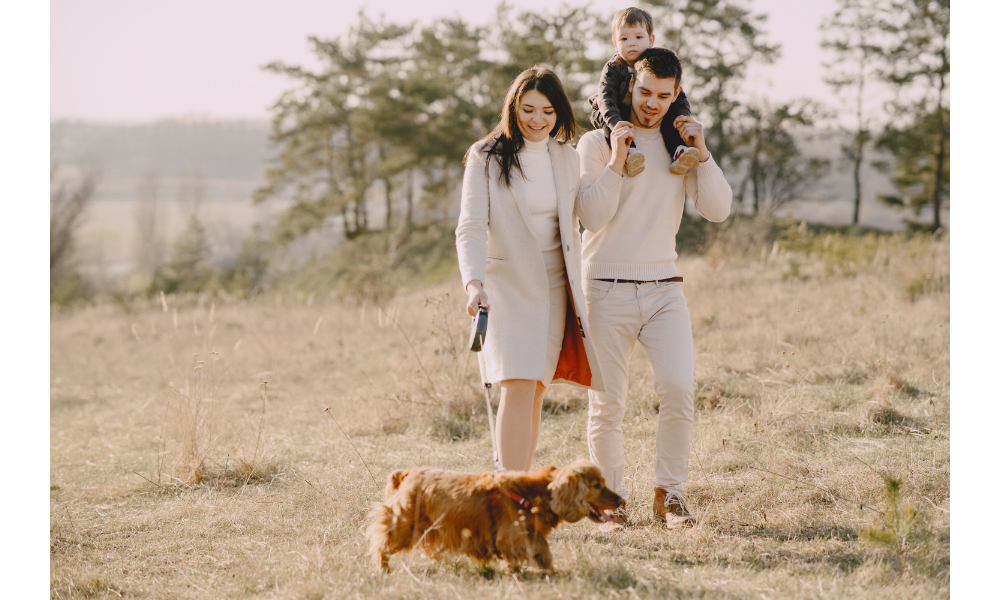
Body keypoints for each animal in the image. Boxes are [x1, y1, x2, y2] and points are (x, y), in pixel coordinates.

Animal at [364, 460, 620, 572]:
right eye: (597, 485)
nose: (621, 500)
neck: (533, 495)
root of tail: (408, 473)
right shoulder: (510, 538)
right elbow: (523, 556)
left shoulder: (530, 534)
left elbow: (543, 552)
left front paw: (550, 573)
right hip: (403, 527)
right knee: (381, 545)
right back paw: (382, 570)